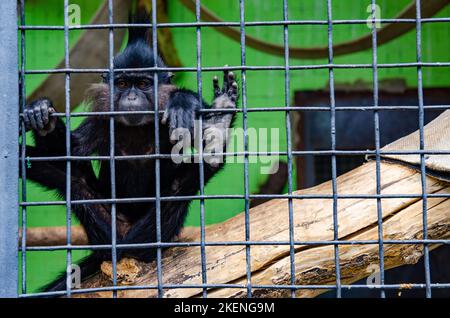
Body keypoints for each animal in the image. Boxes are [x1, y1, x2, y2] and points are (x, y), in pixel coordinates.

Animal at [22, 16, 239, 294]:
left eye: (144, 84)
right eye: (123, 84)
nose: (132, 97)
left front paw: (183, 102)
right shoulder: (102, 120)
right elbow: (71, 150)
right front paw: (42, 115)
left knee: (181, 186)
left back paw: (217, 130)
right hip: (105, 228)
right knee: (73, 178)